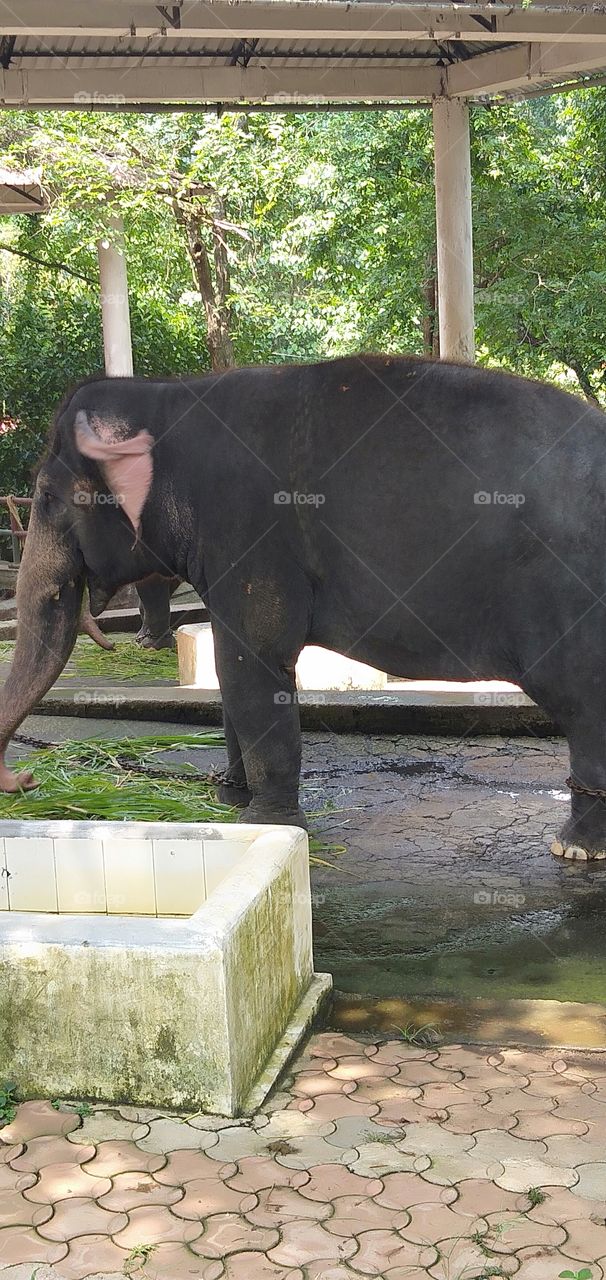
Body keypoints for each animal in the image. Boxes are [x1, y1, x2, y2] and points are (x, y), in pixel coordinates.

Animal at [0, 354, 605, 859]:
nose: (25, 781)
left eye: (47, 499)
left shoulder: (252, 536)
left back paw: (574, 849)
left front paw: (265, 824)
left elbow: (251, 663)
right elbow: (230, 669)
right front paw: (229, 796)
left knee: (582, 704)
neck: (167, 395)